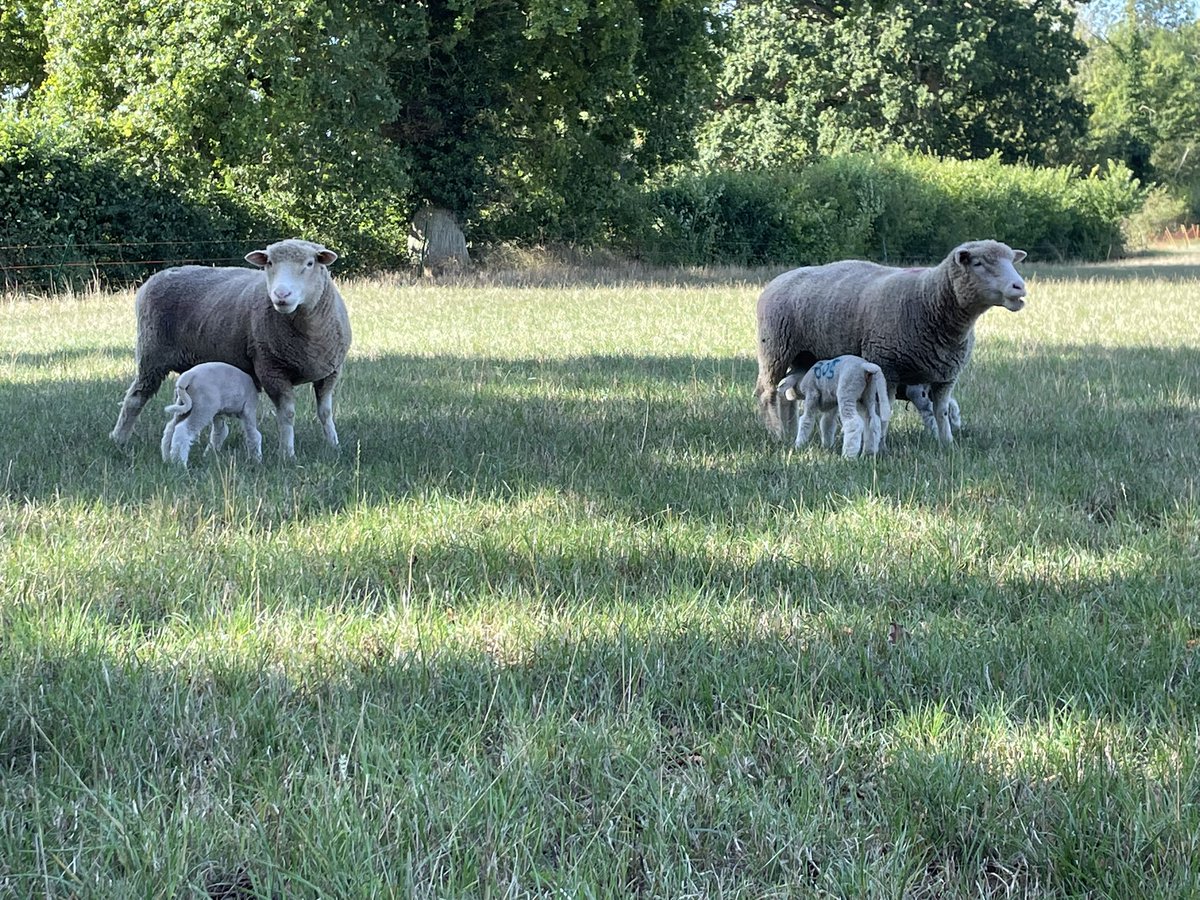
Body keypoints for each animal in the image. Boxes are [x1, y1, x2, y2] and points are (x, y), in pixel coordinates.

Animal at [111, 238, 351, 459]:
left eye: (310, 263)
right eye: (269, 263)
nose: (281, 295)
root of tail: (157, 276)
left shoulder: (331, 372)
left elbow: (325, 412)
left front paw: (334, 445)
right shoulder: (271, 370)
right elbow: (287, 415)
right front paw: (287, 454)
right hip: (151, 356)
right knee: (134, 399)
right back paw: (119, 441)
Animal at [755, 240, 1026, 445]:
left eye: (1012, 261)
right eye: (978, 264)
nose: (1020, 287)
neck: (929, 299)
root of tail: (777, 279)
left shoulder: (946, 376)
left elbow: (942, 411)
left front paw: (947, 444)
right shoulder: (887, 366)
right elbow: (884, 412)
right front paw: (881, 443)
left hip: (804, 355)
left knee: (787, 390)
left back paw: (789, 430)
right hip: (775, 347)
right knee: (767, 392)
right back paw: (776, 432)